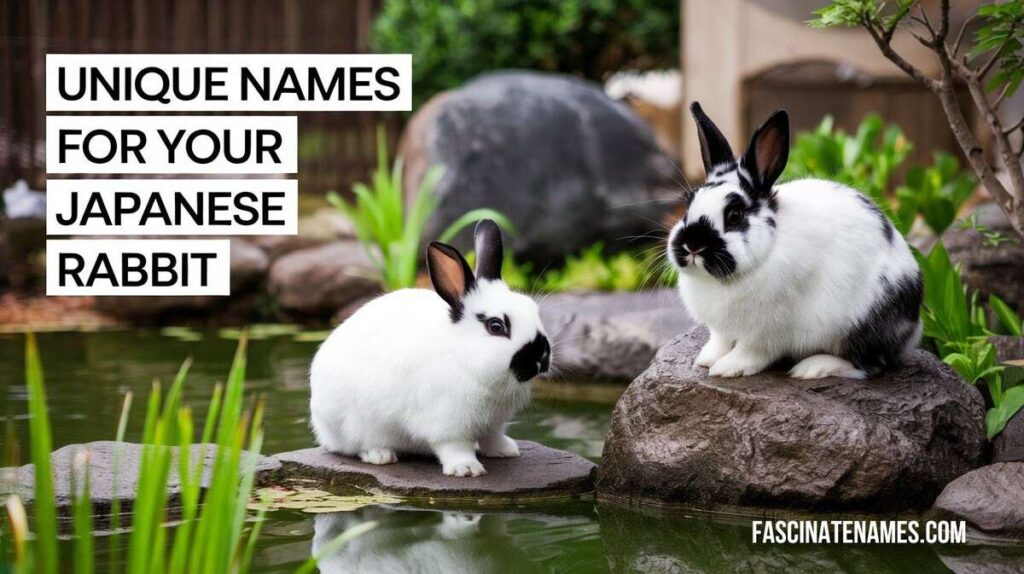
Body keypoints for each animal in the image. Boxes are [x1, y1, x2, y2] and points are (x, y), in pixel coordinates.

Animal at [309, 219, 551, 477]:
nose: (542, 357)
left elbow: (492, 438)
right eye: (496, 326)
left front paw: (506, 451)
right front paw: (467, 469)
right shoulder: (448, 425)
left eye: (534, 309)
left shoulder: (493, 424)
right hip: (355, 426)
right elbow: (455, 447)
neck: (465, 358)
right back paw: (381, 456)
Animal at [666, 103, 923, 379]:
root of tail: (913, 331)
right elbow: (720, 340)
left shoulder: (766, 331)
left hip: (863, 322)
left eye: (735, 215)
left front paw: (728, 368)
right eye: (688, 205)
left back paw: (812, 367)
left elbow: (751, 351)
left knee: (870, 365)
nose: (693, 244)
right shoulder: (721, 328)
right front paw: (706, 360)